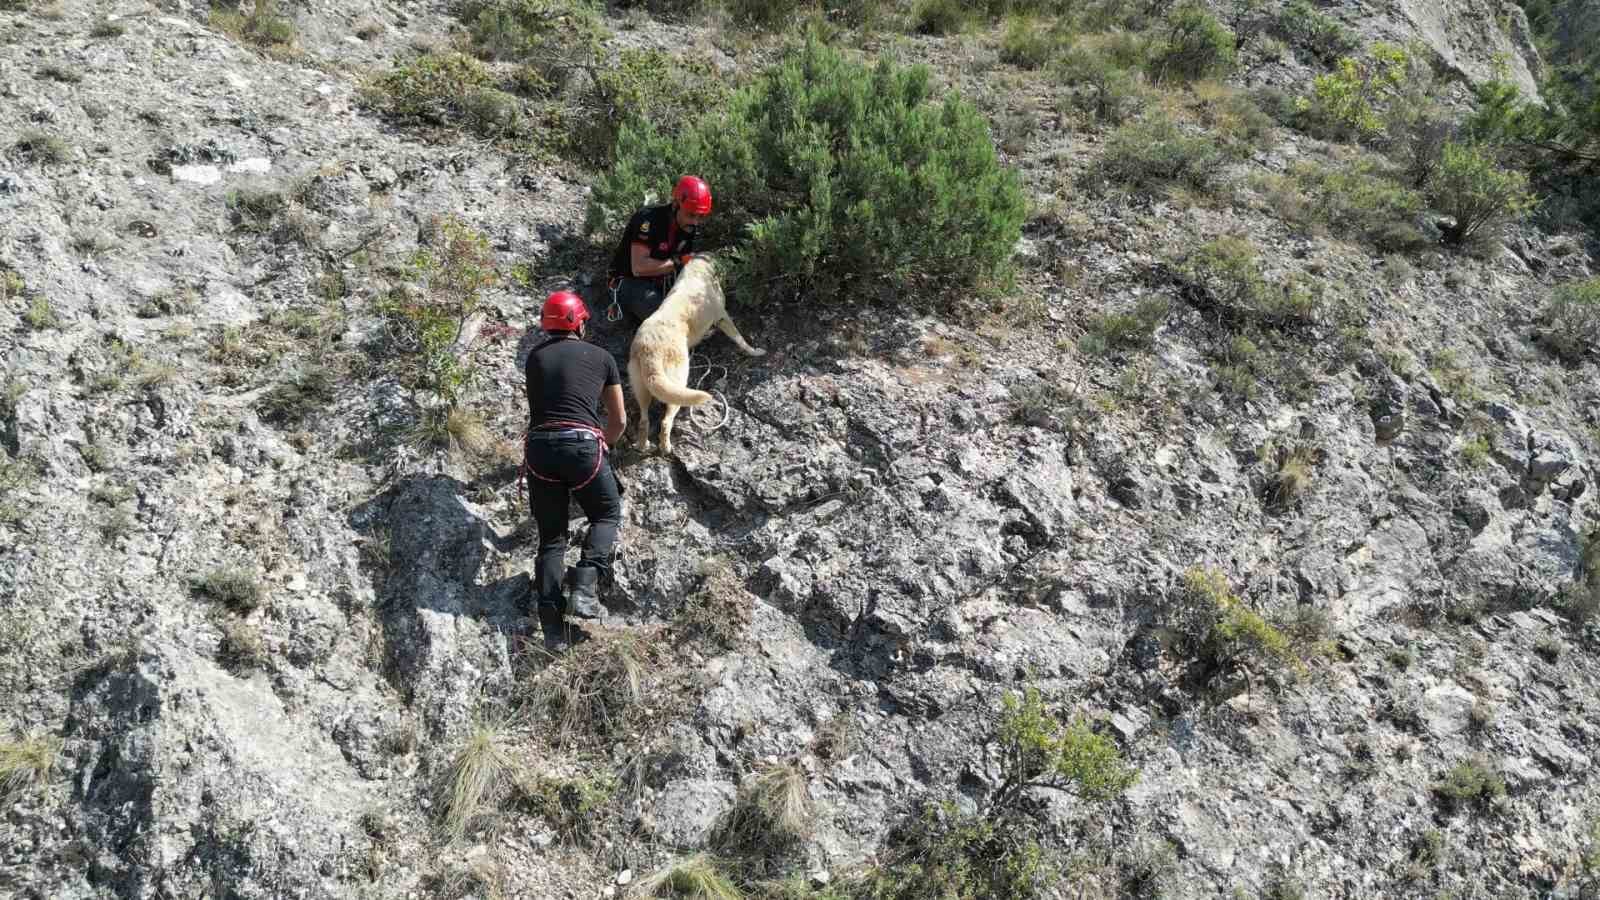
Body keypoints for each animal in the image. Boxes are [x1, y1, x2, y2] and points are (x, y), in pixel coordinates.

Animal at [627, 256, 764, 454]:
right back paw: (666, 447)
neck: (700, 267)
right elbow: (740, 338)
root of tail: (649, 350)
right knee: (665, 421)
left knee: (644, 420)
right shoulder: (723, 317)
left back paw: (643, 445)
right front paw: (754, 351)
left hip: (642, 389)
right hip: (678, 384)